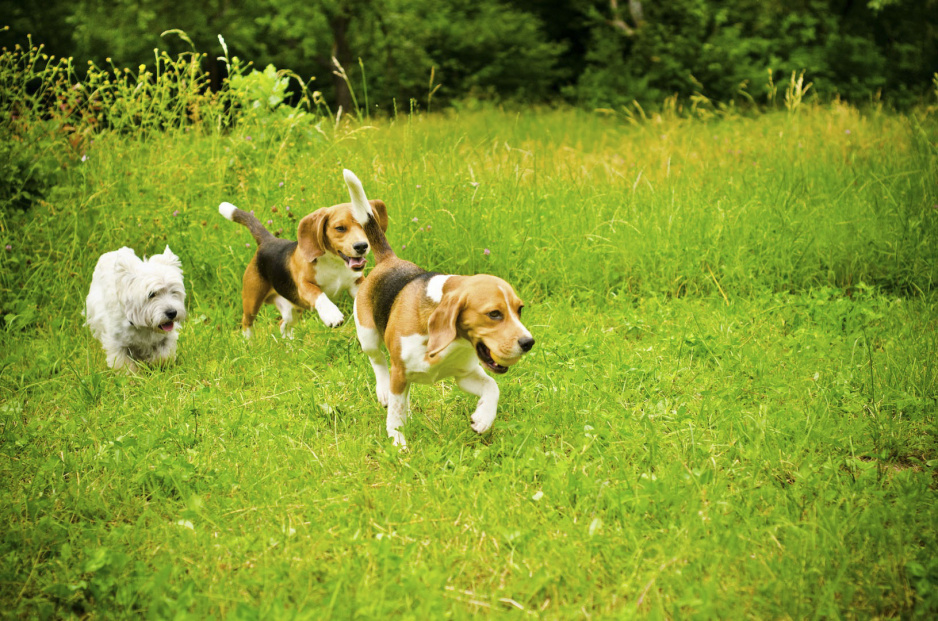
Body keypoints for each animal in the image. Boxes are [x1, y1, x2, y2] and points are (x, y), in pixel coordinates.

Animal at [219, 196, 388, 336]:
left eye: (364, 225)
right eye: (340, 228)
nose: (361, 246)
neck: (335, 264)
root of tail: (268, 240)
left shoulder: (355, 284)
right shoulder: (303, 286)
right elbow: (318, 294)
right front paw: (331, 315)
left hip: (292, 309)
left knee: (283, 325)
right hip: (252, 300)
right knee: (246, 323)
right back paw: (249, 345)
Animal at [342, 170, 532, 448]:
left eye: (519, 309)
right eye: (494, 314)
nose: (529, 342)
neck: (450, 343)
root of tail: (390, 260)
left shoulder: (464, 375)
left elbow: (492, 387)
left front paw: (483, 418)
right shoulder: (399, 373)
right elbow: (395, 413)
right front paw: (397, 441)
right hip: (367, 335)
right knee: (377, 361)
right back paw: (383, 391)